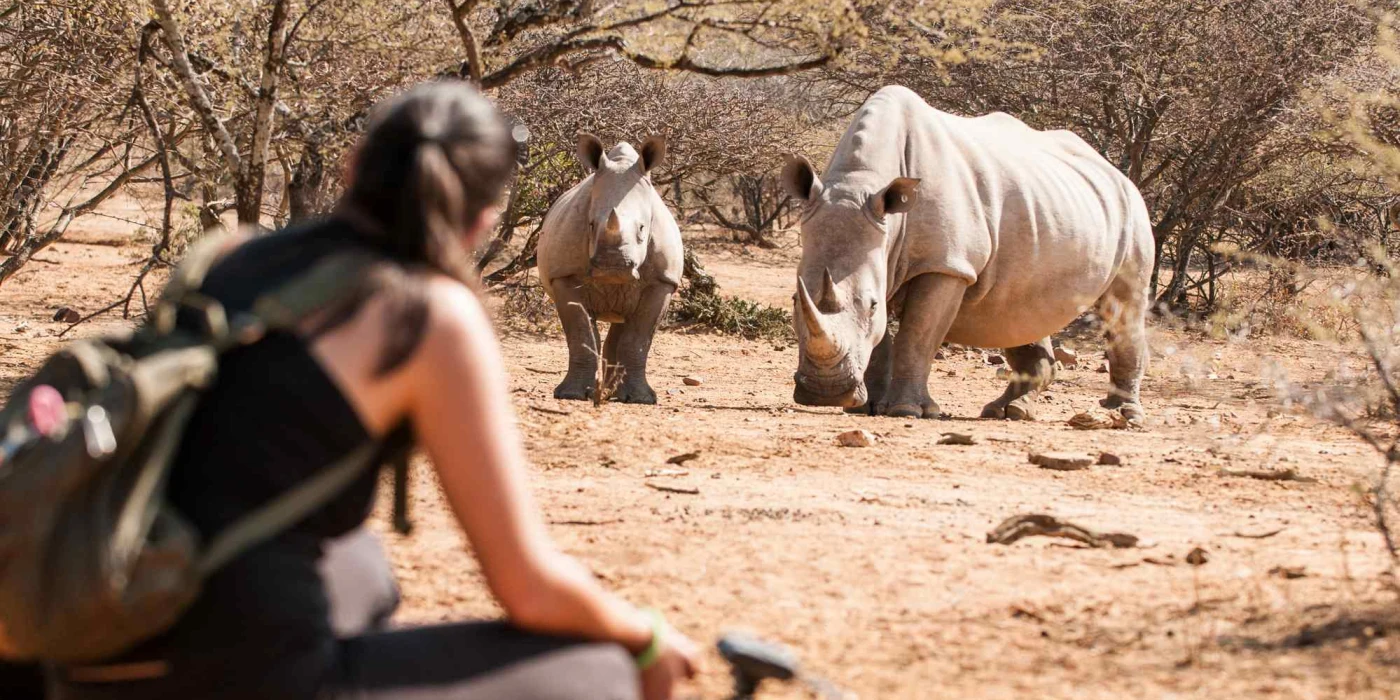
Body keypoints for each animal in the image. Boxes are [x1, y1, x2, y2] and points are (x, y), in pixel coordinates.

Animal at [534, 133, 683, 403]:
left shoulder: (663, 281)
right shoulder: (565, 275)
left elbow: (638, 339)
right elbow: (581, 334)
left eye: (643, 228)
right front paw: (571, 394)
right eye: (591, 225)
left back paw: (615, 392)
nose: (613, 266)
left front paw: (641, 399)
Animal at [784, 81, 1153, 420]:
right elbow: (881, 341)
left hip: (1133, 212)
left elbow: (917, 335)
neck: (862, 183)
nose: (824, 393)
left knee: (1124, 305)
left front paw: (907, 410)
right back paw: (1007, 411)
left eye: (872, 305)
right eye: (794, 299)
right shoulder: (883, 254)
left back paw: (1125, 414)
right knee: (1019, 309)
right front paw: (866, 408)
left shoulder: (947, 264)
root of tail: (1115, 171)